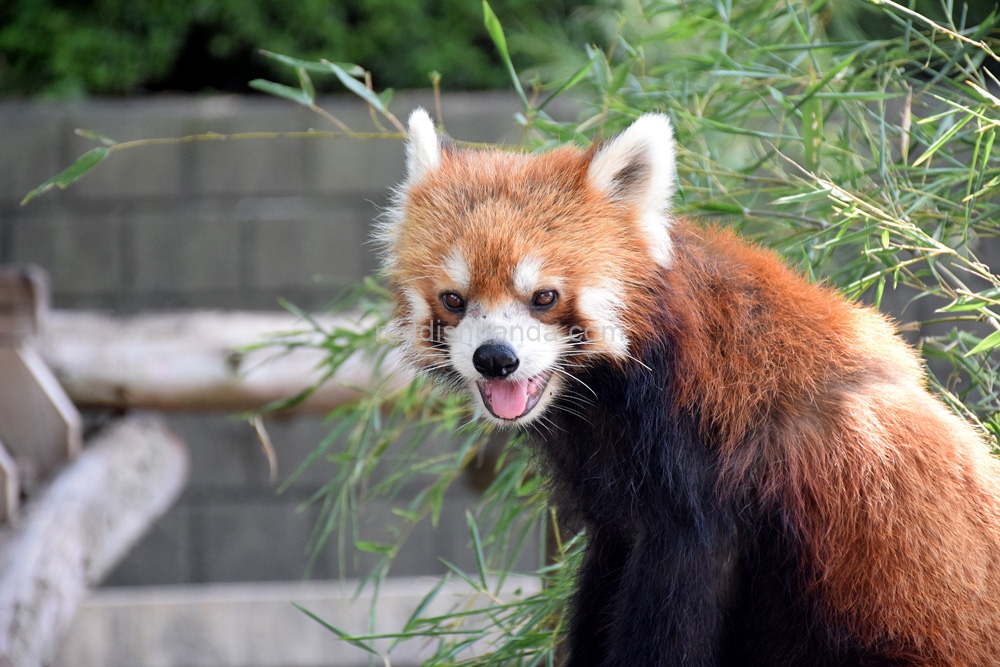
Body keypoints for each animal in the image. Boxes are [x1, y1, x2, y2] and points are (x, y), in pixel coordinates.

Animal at [376, 109, 1000, 667]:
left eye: (544, 297)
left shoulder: (706, 469)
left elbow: (677, 607)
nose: (495, 359)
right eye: (454, 299)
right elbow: (604, 578)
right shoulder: (612, 499)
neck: (608, 397)